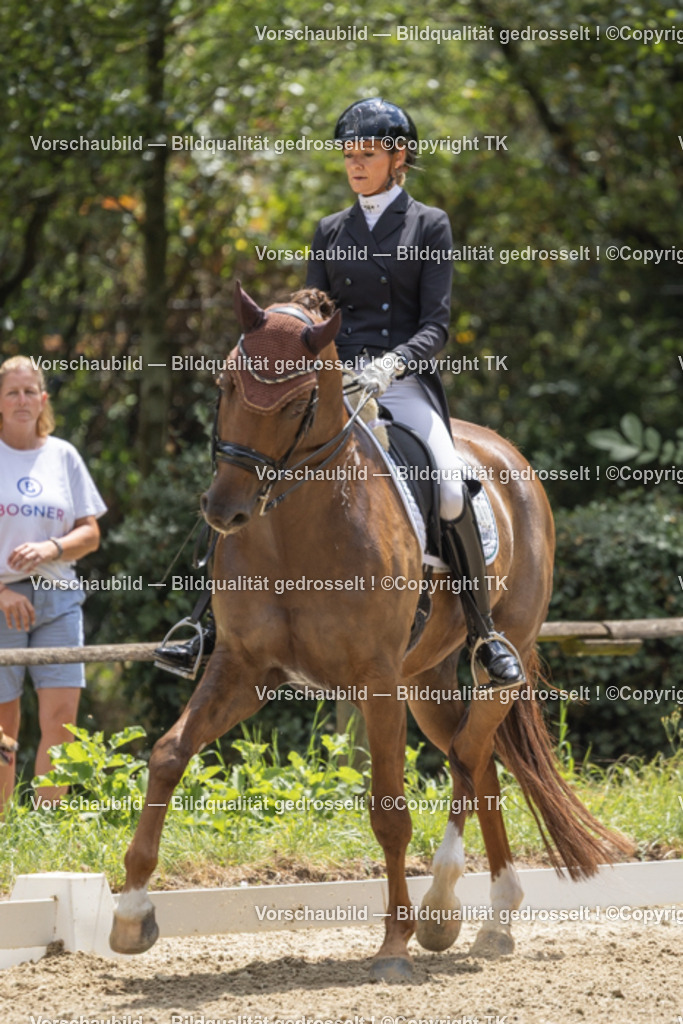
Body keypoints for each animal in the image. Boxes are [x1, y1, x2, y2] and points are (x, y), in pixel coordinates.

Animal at [110, 282, 630, 980]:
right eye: (225, 384)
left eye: (297, 402)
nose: (224, 511)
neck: (294, 527)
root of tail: (505, 451)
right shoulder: (245, 670)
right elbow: (168, 755)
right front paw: (132, 913)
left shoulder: (375, 682)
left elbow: (389, 811)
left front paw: (394, 945)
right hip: (427, 680)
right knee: (478, 761)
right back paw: (491, 919)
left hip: (500, 654)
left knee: (469, 754)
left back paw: (446, 907)